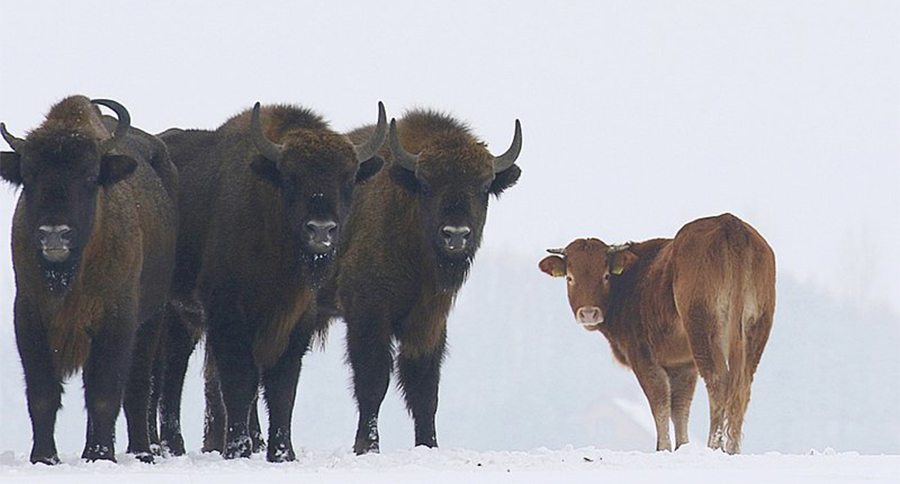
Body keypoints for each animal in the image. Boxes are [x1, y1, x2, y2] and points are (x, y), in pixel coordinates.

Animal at [0, 96, 178, 464]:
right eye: (28, 175)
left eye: (90, 175)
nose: (55, 234)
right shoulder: (29, 315)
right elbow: (43, 393)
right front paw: (44, 457)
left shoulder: (117, 320)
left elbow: (105, 394)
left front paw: (101, 455)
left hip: (152, 320)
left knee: (138, 389)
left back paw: (141, 451)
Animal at [155, 101, 387, 462]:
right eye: (291, 178)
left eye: (348, 178)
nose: (321, 230)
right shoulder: (228, 316)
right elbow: (240, 382)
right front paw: (237, 450)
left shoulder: (296, 321)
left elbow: (282, 388)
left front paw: (282, 453)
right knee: (164, 374)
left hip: (185, 318)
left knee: (173, 370)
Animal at [316, 110, 522, 454]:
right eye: (427, 184)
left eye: (483, 186)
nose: (456, 235)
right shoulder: (367, 313)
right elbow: (373, 380)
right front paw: (367, 447)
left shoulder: (429, 321)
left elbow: (424, 389)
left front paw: (429, 445)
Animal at [538, 213, 775, 454]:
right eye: (570, 277)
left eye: (605, 276)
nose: (588, 313)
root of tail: (729, 224)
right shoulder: (683, 364)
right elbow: (679, 407)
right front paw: (682, 446)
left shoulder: (643, 356)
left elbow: (659, 400)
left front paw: (663, 447)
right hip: (756, 329)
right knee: (743, 386)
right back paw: (733, 449)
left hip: (703, 329)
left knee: (717, 381)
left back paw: (714, 446)